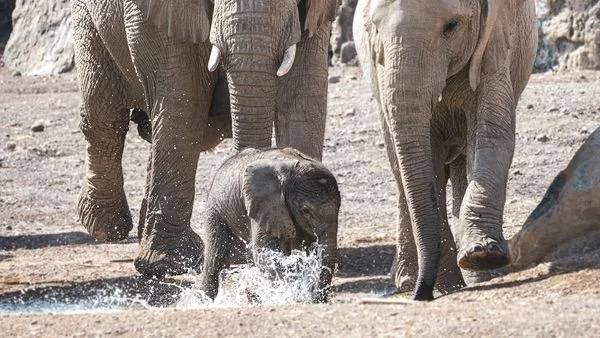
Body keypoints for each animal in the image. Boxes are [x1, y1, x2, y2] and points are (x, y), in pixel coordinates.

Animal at [71, 0, 338, 278]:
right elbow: (183, 105)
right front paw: (169, 264)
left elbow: (303, 98)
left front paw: (300, 253)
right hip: (87, 20)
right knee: (104, 118)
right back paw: (107, 227)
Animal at [199, 149, 340, 302]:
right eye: (305, 210)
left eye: (339, 208)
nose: (316, 300)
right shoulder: (264, 204)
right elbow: (265, 253)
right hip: (216, 209)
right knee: (216, 256)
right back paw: (206, 302)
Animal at [354, 0, 536, 302]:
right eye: (375, 29)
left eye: (452, 27)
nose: (422, 295)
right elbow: (425, 158)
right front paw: (449, 285)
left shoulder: (494, 44)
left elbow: (493, 133)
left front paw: (481, 256)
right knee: (399, 167)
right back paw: (409, 280)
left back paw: (477, 275)